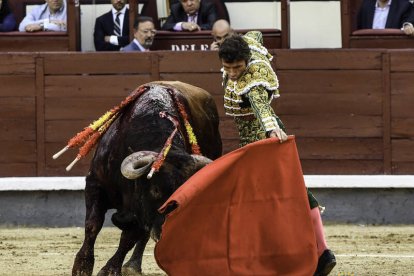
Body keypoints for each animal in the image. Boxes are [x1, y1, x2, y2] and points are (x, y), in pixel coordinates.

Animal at [73, 82, 223, 276]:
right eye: (155, 190)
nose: (164, 233)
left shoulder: (141, 213)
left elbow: (129, 238)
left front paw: (110, 269)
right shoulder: (95, 184)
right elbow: (93, 224)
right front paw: (82, 267)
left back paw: (132, 266)